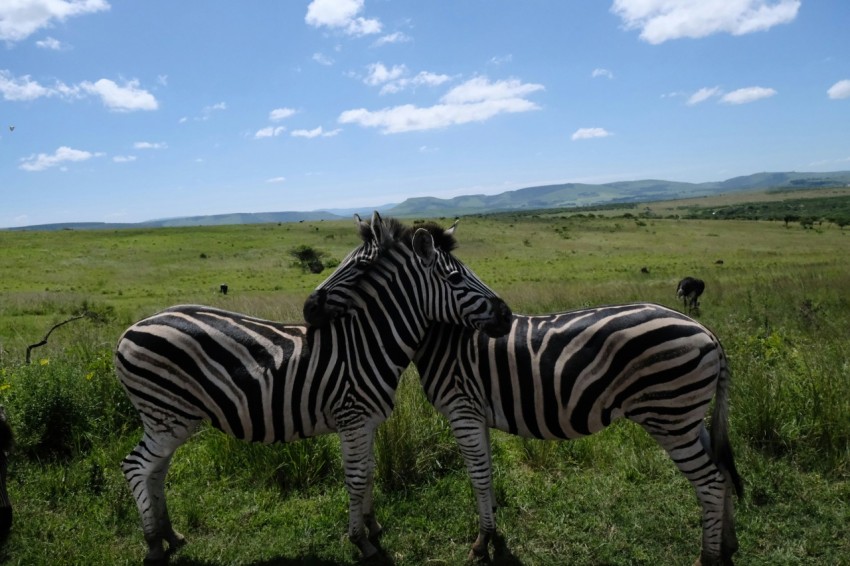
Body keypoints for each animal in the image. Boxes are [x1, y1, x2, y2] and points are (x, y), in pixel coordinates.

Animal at [114, 213, 510, 564]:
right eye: (456, 277)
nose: (506, 316)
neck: (369, 341)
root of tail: (129, 330)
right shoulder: (352, 418)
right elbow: (355, 478)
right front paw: (361, 542)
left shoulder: (366, 423)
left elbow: (369, 472)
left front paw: (372, 527)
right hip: (165, 414)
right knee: (136, 466)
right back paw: (153, 545)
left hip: (172, 420)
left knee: (156, 471)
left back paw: (170, 535)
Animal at [414, 304, 740, 564]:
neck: (443, 337)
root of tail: (706, 332)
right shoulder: (476, 412)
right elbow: (487, 471)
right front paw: (492, 522)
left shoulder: (462, 408)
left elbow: (478, 478)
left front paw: (482, 542)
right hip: (688, 418)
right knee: (722, 470)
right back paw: (727, 545)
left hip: (671, 416)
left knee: (710, 482)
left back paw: (707, 557)